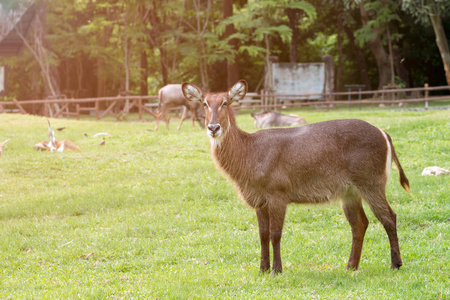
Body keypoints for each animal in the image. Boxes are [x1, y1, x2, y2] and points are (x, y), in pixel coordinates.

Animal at [182, 79, 412, 274]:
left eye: (225, 102)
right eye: (204, 103)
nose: (213, 127)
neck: (248, 156)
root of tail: (384, 133)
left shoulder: (278, 193)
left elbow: (276, 234)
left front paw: (277, 269)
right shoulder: (258, 200)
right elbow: (262, 235)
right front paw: (262, 269)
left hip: (372, 182)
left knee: (389, 217)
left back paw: (395, 264)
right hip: (349, 192)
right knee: (360, 224)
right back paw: (351, 266)